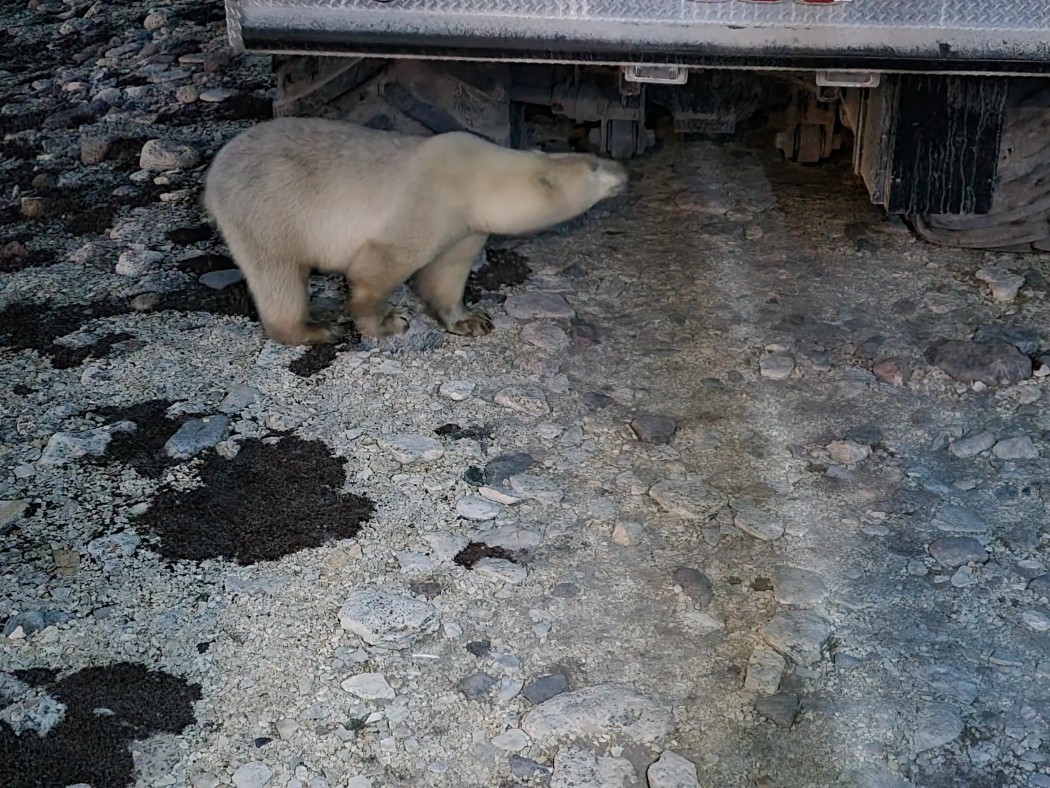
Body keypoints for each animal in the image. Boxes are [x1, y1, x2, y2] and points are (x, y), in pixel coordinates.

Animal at [202, 117, 628, 346]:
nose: (624, 170)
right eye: (594, 166)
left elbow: (447, 274)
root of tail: (213, 175)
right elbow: (380, 263)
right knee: (278, 274)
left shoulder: (465, 227)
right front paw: (388, 321)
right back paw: (317, 328)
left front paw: (471, 321)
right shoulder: (430, 200)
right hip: (268, 209)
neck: (477, 178)